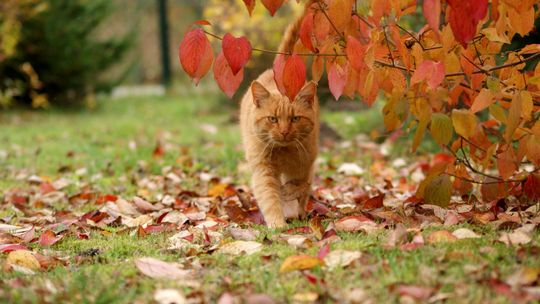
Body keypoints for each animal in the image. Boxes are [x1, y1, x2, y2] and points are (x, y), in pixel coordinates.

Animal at [239, 2, 316, 228]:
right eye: (272, 119)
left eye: (295, 119)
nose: (283, 132)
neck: (283, 152)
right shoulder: (263, 170)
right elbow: (270, 197)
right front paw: (277, 224)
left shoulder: (306, 162)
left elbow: (303, 184)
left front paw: (291, 194)